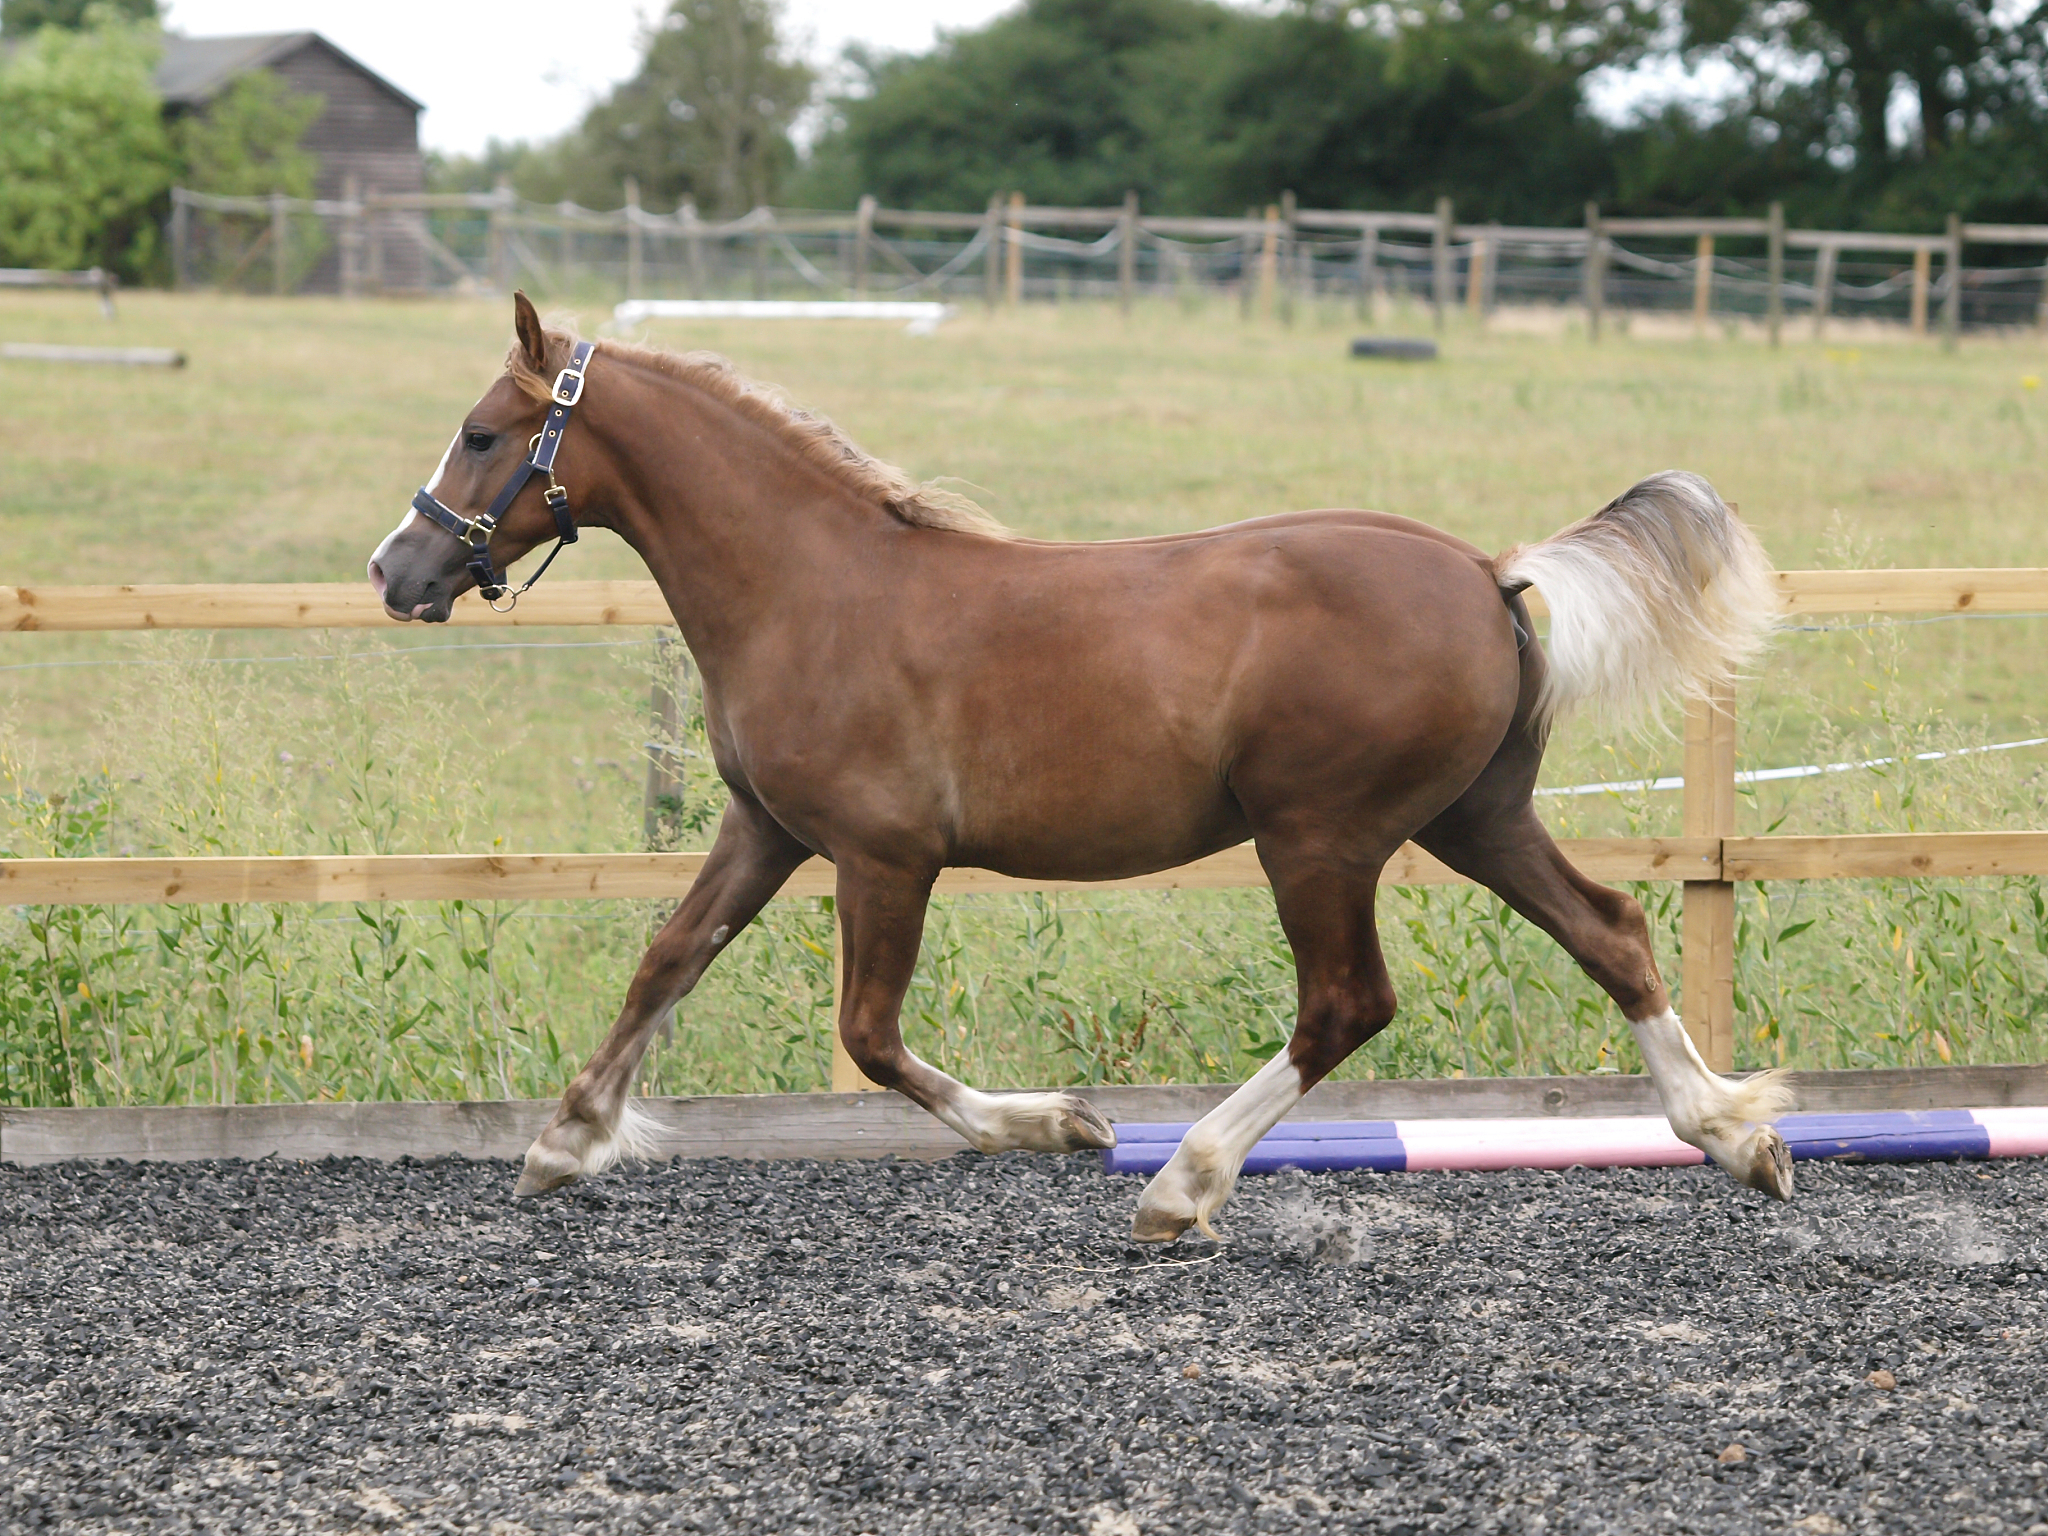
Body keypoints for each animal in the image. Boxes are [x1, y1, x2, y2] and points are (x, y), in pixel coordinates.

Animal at [367, 292, 1790, 1242]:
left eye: (482, 434)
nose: (397, 569)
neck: (810, 587)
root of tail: (1486, 571)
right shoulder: (764, 829)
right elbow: (667, 959)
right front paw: (563, 1142)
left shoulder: (883, 857)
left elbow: (869, 1037)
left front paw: (1063, 1124)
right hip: (1472, 818)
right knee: (1608, 932)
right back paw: (1735, 1136)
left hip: (1318, 837)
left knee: (1346, 1003)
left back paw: (1181, 1184)